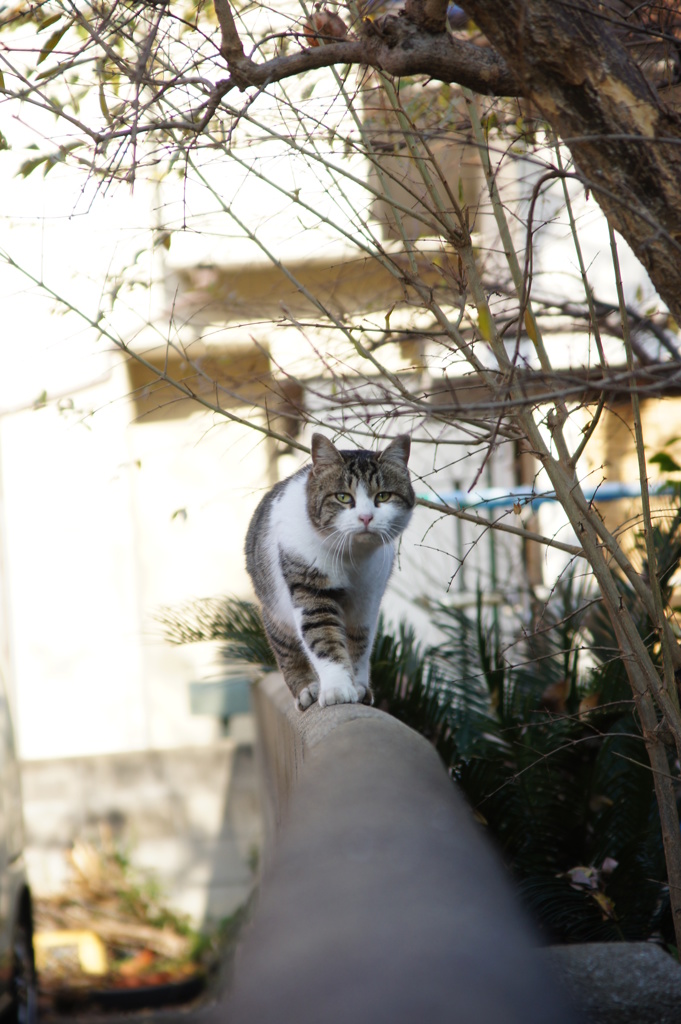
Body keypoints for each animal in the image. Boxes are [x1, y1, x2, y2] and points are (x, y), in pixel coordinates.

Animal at [244, 434, 413, 712]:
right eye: (343, 497)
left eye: (384, 496)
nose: (366, 517)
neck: (352, 557)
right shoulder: (310, 589)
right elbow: (324, 639)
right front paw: (337, 689)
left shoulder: (367, 599)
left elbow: (359, 644)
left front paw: (357, 685)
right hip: (275, 611)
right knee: (286, 648)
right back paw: (307, 689)